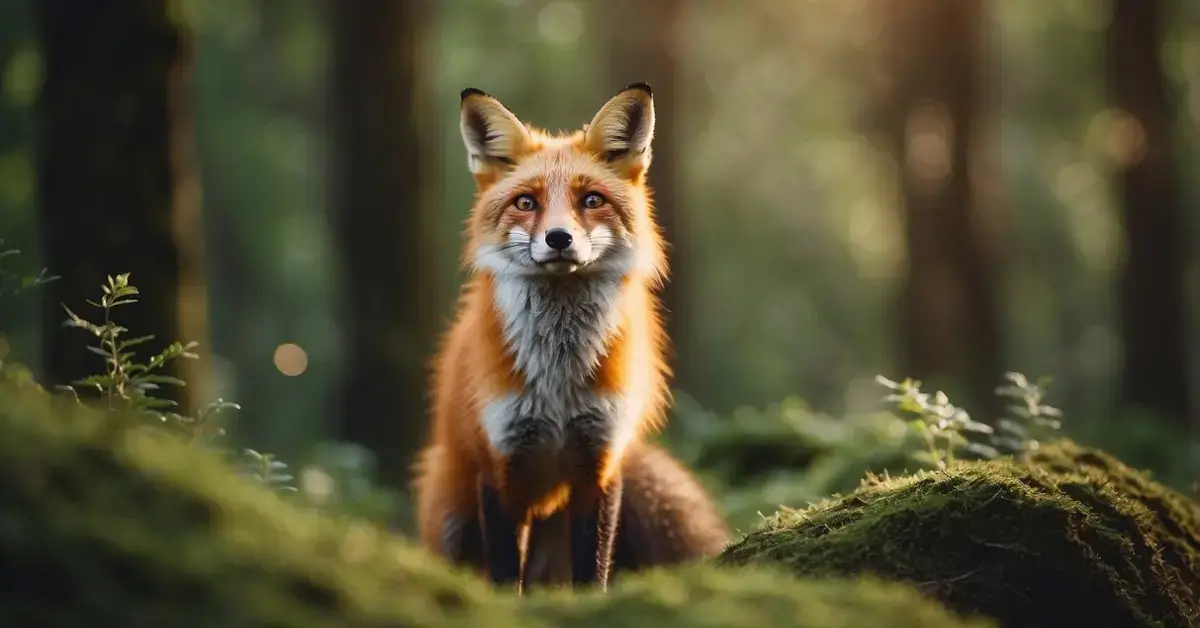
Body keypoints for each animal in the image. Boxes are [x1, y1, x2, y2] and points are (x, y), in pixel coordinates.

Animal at [412, 83, 729, 593]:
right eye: (526, 203)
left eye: (592, 200)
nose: (558, 238)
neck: (557, 380)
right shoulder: (499, 468)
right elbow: (506, 575)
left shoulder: (600, 463)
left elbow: (594, 568)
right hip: (452, 513)